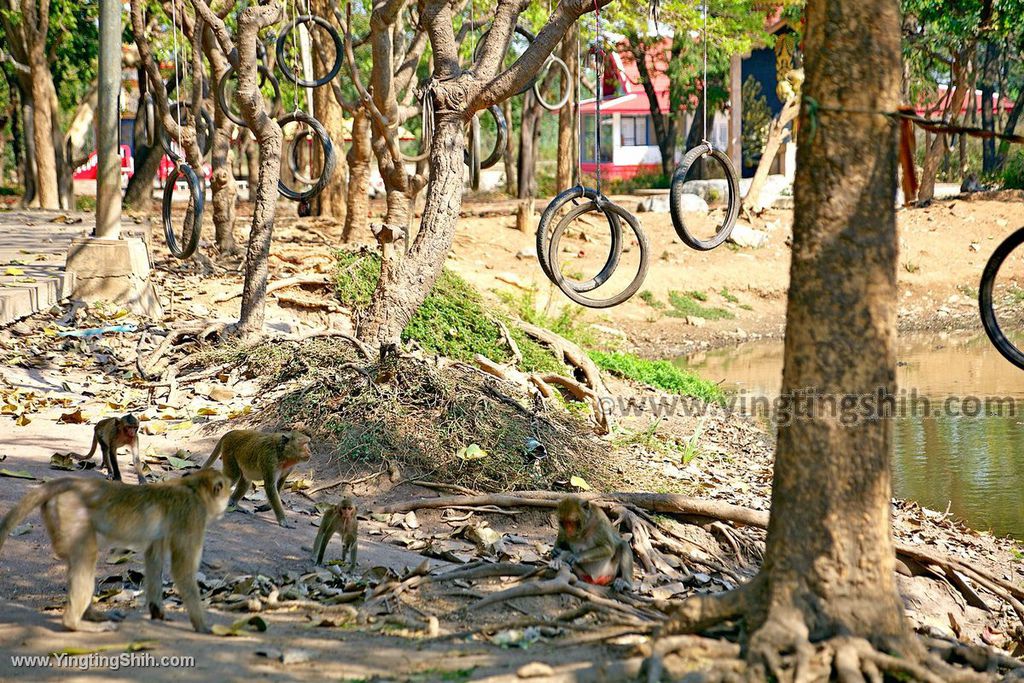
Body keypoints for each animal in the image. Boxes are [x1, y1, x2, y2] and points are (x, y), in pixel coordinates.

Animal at [0, 471, 228, 634]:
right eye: (227, 486)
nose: (231, 499)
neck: (193, 488)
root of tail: (74, 482)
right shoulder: (192, 515)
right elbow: (182, 569)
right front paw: (202, 626)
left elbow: (154, 559)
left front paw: (158, 612)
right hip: (71, 510)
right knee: (87, 555)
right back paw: (74, 623)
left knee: (75, 556)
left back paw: (90, 615)